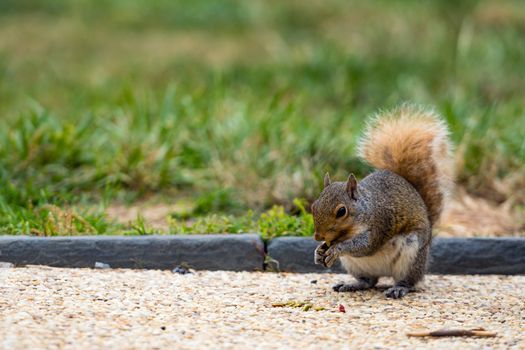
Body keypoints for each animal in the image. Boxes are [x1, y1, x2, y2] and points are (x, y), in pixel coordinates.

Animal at [312, 104, 450, 298]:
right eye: (313, 206)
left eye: (341, 211)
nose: (318, 236)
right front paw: (318, 251)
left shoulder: (380, 222)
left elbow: (365, 245)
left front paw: (336, 249)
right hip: (356, 266)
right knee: (369, 281)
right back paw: (352, 284)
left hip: (411, 256)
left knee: (409, 281)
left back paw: (399, 288)